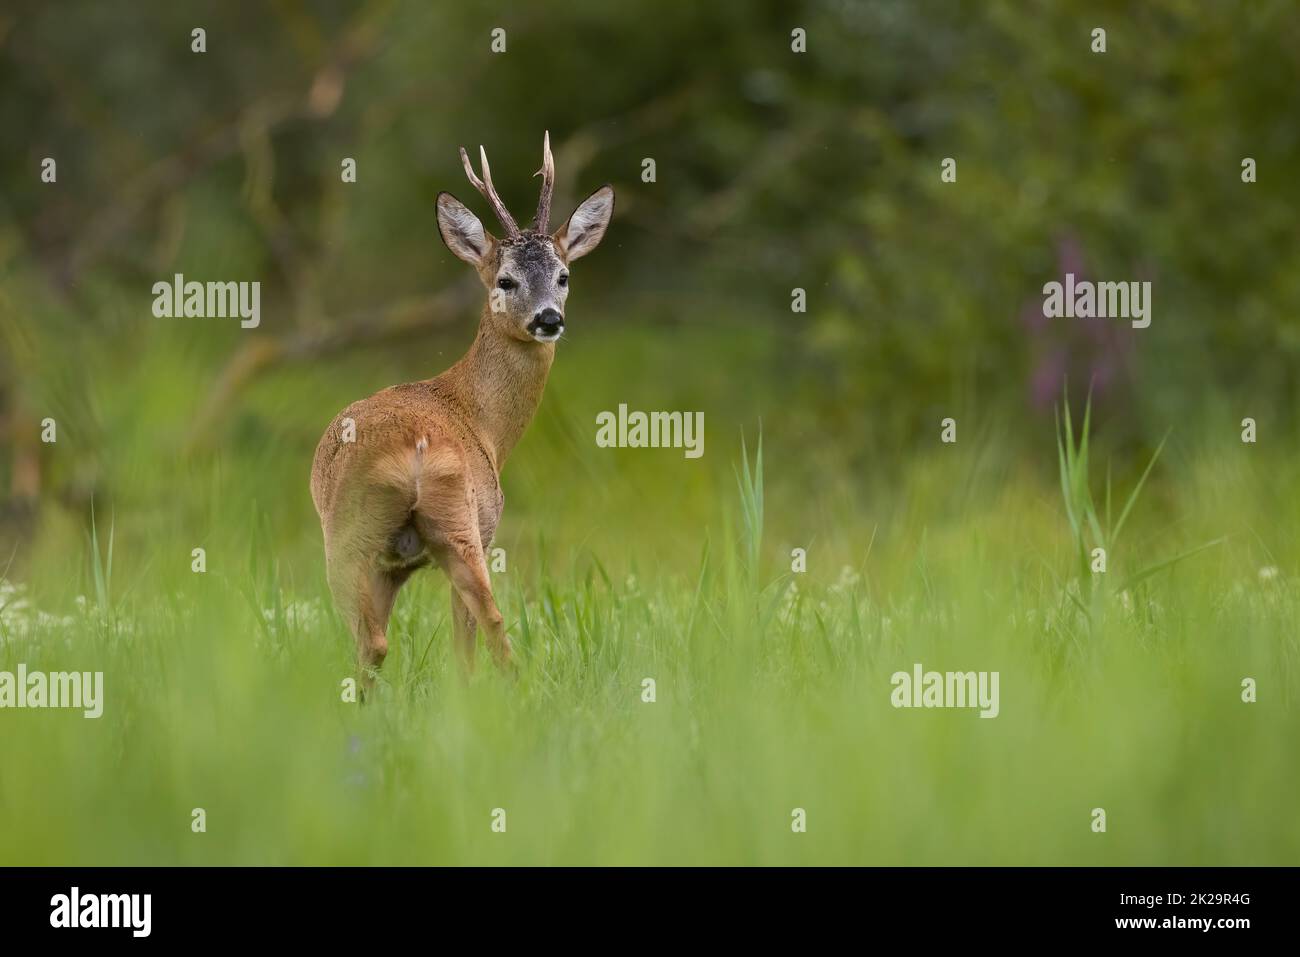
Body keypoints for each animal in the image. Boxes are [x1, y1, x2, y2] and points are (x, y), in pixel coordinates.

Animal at [314, 132, 618, 686]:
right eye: (505, 280)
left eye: (563, 275)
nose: (548, 319)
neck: (482, 421)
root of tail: (412, 451)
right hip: (451, 529)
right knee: (483, 627)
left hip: (364, 535)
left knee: (379, 641)